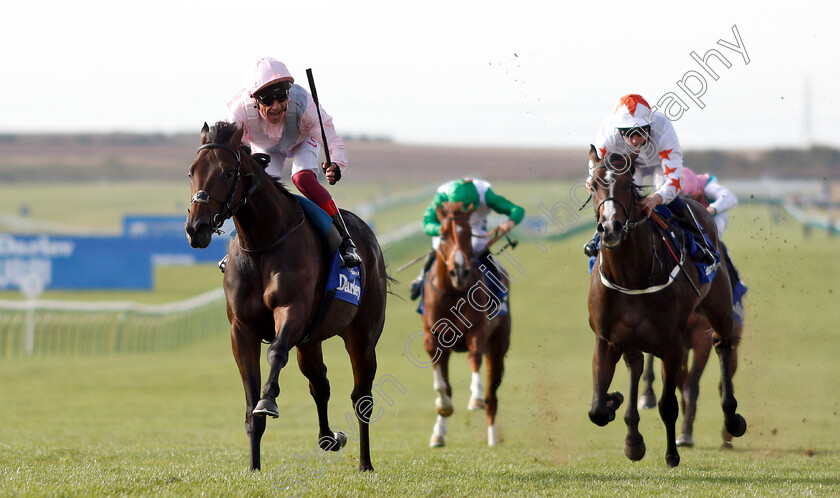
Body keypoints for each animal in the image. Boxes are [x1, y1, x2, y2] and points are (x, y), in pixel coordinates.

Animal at [184, 121, 388, 470]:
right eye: (191, 171)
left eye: (227, 172)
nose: (195, 227)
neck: (263, 244)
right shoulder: (242, 330)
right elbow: (251, 404)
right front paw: (253, 467)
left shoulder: (291, 310)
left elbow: (276, 353)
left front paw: (269, 400)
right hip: (311, 340)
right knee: (320, 384)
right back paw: (329, 438)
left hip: (362, 336)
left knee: (362, 397)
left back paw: (366, 463)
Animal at [420, 201, 512, 448]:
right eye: (442, 235)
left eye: (469, 234)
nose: (459, 270)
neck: (452, 293)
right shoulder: (432, 338)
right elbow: (443, 386)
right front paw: (442, 415)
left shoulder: (477, 332)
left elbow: (474, 359)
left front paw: (475, 398)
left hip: (498, 346)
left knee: (492, 395)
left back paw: (492, 438)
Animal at [584, 144, 748, 466]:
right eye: (594, 184)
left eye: (627, 185)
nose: (610, 227)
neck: (632, 275)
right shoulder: (607, 339)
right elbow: (596, 409)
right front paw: (615, 404)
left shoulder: (673, 342)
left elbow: (671, 401)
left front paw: (672, 453)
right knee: (637, 368)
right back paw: (633, 435)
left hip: (719, 309)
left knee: (723, 346)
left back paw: (732, 419)